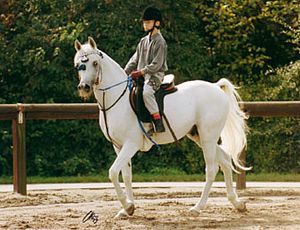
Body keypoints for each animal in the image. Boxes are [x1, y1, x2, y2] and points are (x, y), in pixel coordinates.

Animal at [74, 37, 250, 217]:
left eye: (95, 63)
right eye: (77, 65)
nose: (84, 87)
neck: (117, 98)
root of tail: (215, 87)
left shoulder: (131, 144)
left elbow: (113, 172)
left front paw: (127, 206)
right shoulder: (118, 146)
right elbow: (126, 175)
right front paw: (128, 208)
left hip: (208, 137)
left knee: (212, 169)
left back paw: (197, 207)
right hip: (200, 136)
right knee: (225, 160)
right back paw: (237, 203)